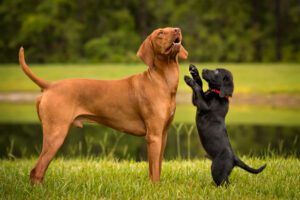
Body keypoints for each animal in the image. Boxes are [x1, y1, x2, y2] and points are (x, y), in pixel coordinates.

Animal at [18, 27, 188, 184]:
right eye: (160, 33)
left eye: (171, 28)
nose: (177, 30)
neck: (162, 80)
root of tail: (50, 85)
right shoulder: (153, 136)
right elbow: (154, 170)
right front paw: (155, 187)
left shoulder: (162, 135)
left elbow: (157, 167)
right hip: (56, 134)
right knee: (37, 170)